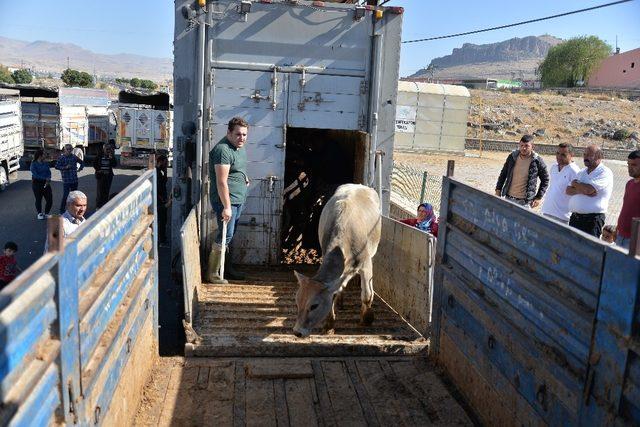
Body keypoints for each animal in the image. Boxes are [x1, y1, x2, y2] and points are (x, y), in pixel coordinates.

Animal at [294, 184, 380, 338]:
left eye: (314, 306)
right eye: (297, 303)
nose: (297, 332)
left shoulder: (366, 264)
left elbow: (367, 295)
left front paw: (367, 319)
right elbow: (332, 294)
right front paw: (329, 325)